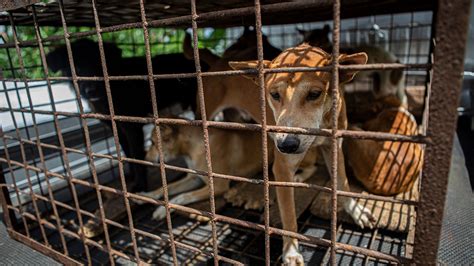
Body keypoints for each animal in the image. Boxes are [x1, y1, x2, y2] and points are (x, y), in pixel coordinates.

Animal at [48, 39, 207, 191]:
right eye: (77, 68)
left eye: (99, 66)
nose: (90, 90)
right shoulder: (117, 128)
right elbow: (127, 153)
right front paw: (131, 175)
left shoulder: (132, 129)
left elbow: (136, 156)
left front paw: (140, 185)